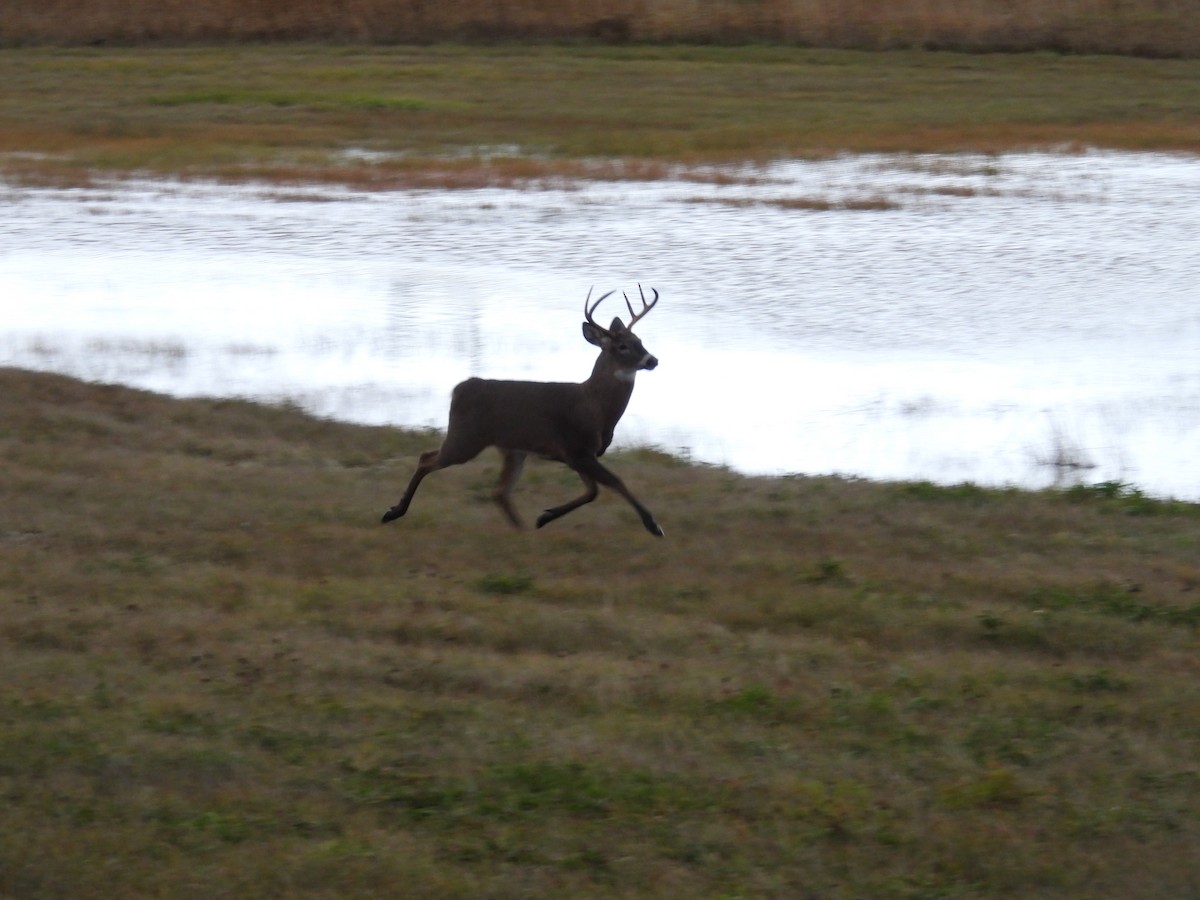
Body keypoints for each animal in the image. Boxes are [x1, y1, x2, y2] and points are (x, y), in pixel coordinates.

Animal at [380, 285, 664, 536]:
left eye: (640, 340)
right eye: (622, 347)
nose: (652, 360)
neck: (596, 407)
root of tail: (459, 389)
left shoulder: (580, 454)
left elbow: (592, 491)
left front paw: (544, 516)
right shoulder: (576, 449)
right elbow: (615, 482)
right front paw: (654, 526)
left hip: (511, 448)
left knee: (497, 490)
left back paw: (521, 530)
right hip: (466, 438)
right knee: (427, 460)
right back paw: (393, 512)